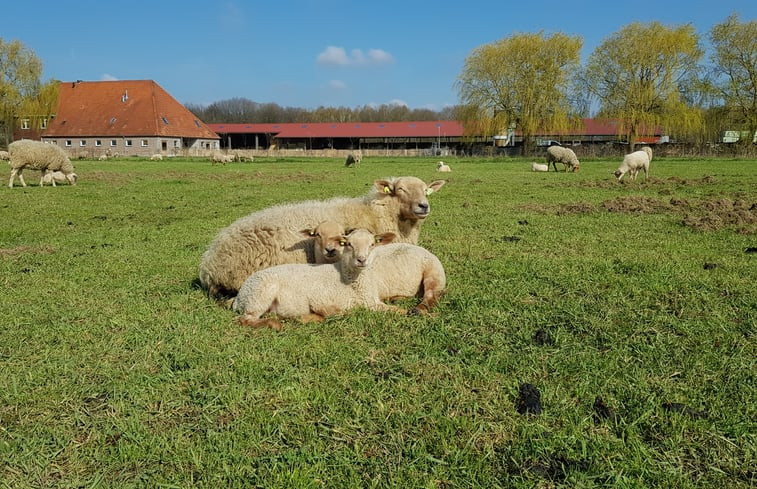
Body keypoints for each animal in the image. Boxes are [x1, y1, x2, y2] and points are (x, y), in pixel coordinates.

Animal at [233, 228, 404, 328]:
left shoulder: (373, 302)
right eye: (348, 244)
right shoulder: (320, 299)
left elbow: (399, 310)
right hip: (259, 295)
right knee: (246, 319)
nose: (361, 260)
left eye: (372, 244)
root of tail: (239, 297)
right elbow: (340, 313)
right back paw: (275, 323)